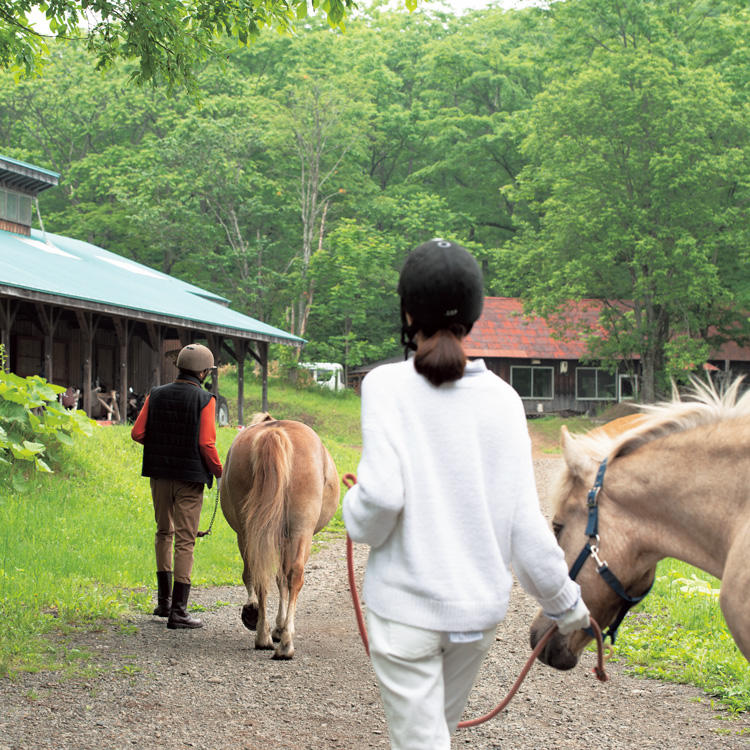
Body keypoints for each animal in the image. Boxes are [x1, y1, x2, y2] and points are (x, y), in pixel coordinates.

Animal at [219, 414, 340, 660]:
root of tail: (274, 432)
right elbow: (282, 578)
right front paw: (279, 627)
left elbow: (274, 577)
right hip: (299, 531)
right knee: (292, 575)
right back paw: (282, 642)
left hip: (251, 532)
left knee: (261, 574)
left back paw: (265, 637)